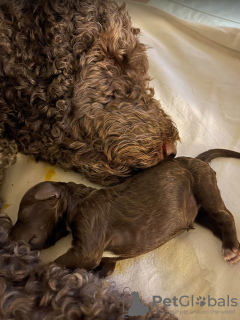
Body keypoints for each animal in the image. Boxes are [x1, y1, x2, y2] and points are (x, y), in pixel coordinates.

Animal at [10, 149, 240, 276]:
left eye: (22, 214)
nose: (9, 237)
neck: (78, 200)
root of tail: (198, 159)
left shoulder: (88, 235)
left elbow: (59, 262)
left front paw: (32, 271)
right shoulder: (103, 258)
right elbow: (102, 268)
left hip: (203, 185)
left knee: (225, 215)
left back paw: (230, 248)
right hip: (199, 212)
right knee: (216, 223)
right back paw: (233, 248)